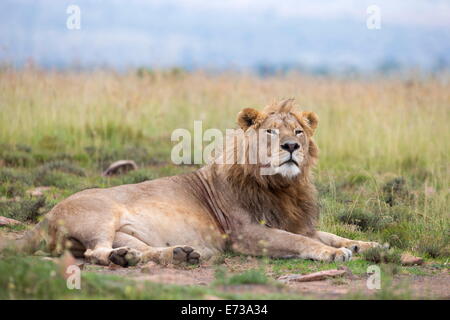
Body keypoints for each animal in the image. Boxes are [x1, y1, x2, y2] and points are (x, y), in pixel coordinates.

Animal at [1, 99, 382, 266]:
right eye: (272, 132)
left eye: (299, 131)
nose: (291, 147)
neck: (282, 187)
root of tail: (46, 215)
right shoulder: (247, 234)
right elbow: (301, 242)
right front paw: (334, 253)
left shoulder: (297, 221)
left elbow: (328, 234)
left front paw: (368, 245)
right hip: (101, 216)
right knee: (95, 253)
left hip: (126, 233)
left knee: (125, 250)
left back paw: (174, 254)